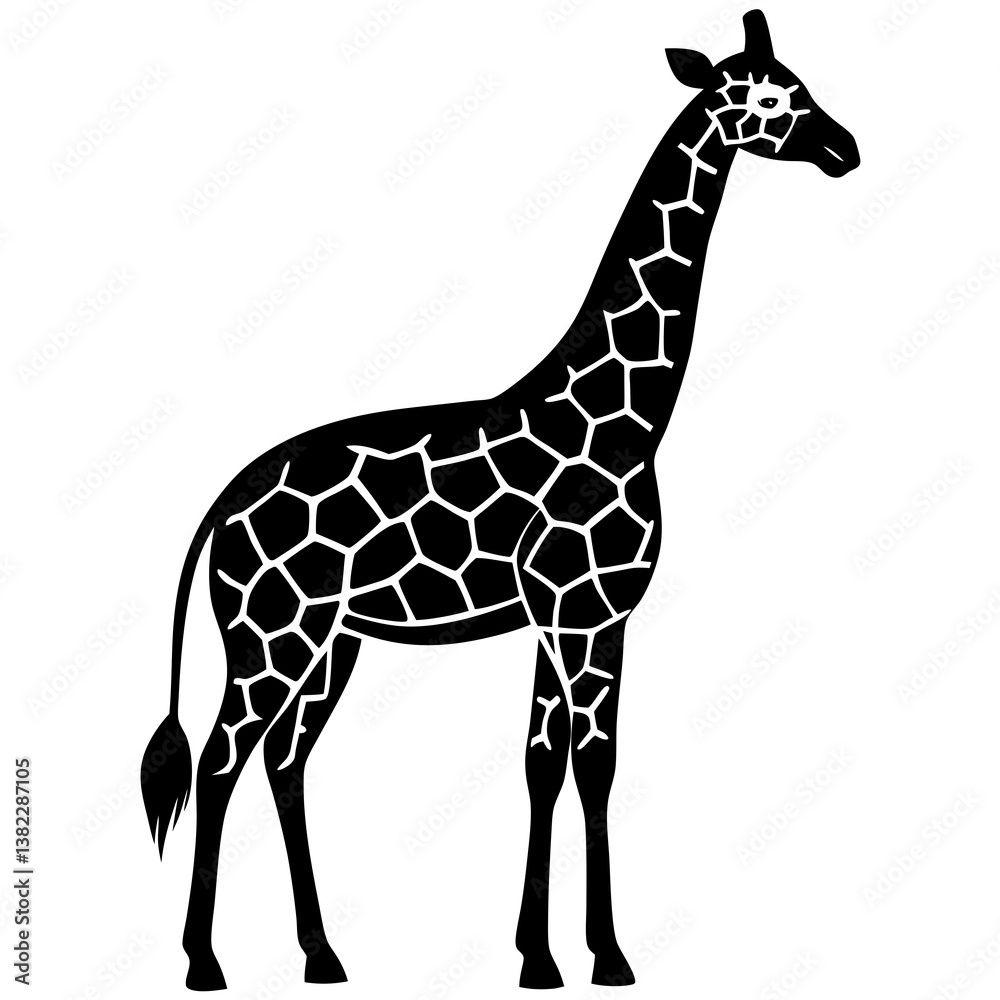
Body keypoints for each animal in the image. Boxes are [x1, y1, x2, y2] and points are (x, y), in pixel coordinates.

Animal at [141, 10, 859, 991]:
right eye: (766, 99)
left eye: (801, 84)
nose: (845, 148)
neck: (625, 416)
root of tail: (219, 507)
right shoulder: (585, 612)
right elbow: (593, 764)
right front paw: (607, 956)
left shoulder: (567, 616)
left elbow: (542, 764)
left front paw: (538, 955)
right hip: (269, 637)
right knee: (219, 764)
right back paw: (205, 963)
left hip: (330, 642)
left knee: (284, 762)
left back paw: (323, 955)